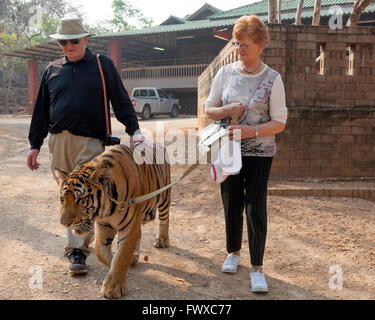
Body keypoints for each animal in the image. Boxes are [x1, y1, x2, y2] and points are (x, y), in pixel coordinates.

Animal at [54, 142, 172, 298]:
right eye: (62, 199)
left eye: (81, 199)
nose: (64, 223)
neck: (107, 210)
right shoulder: (104, 225)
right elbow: (101, 252)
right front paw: (113, 265)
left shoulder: (129, 226)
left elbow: (121, 257)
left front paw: (113, 287)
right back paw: (134, 256)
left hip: (164, 196)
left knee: (164, 219)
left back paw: (161, 240)